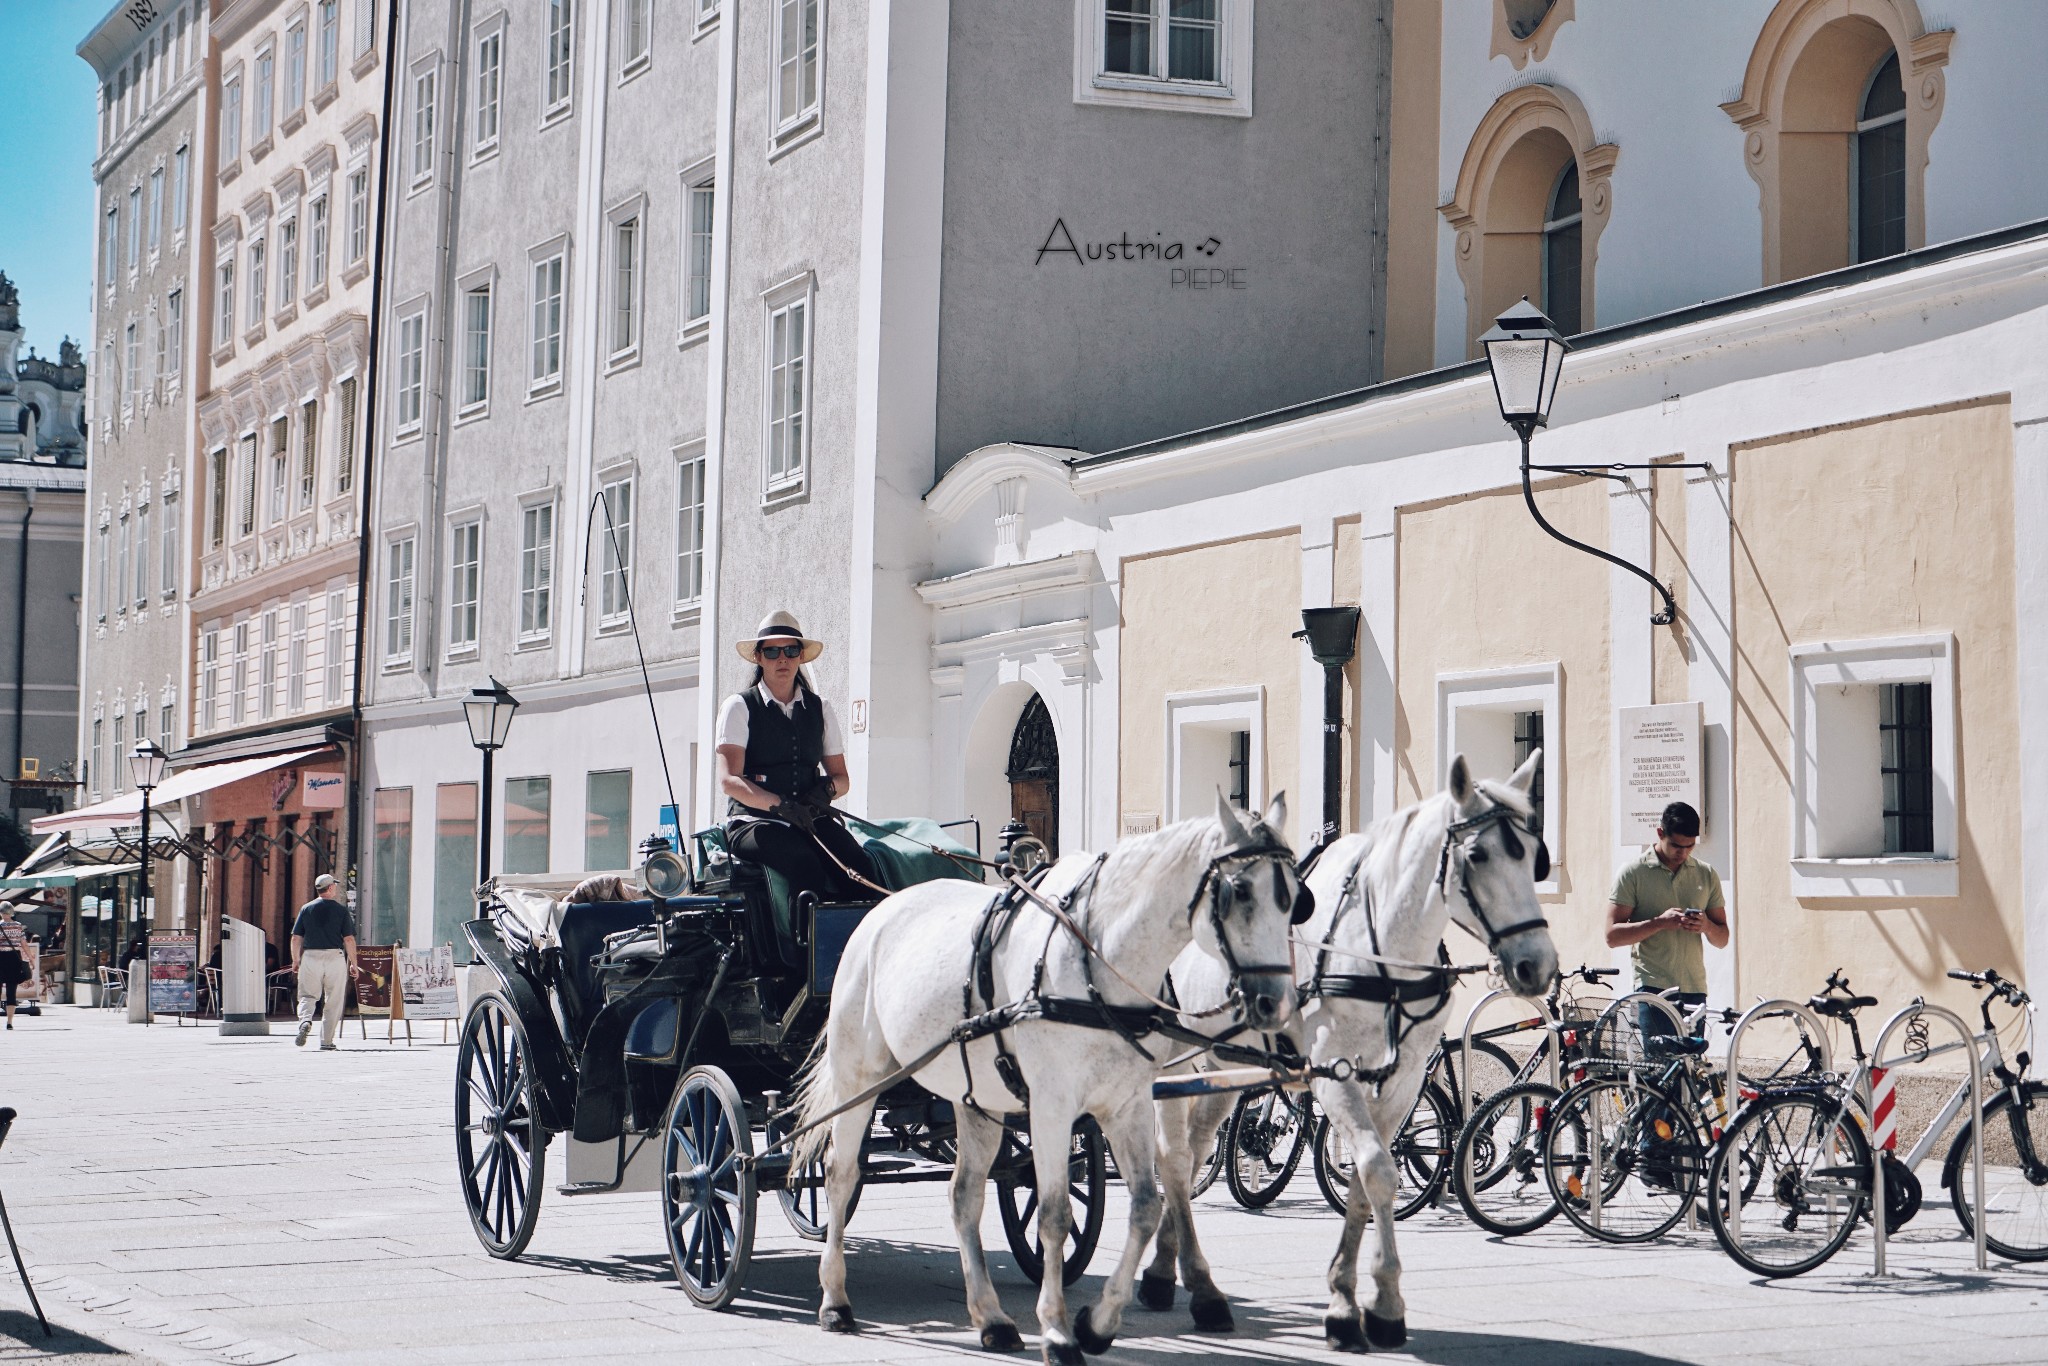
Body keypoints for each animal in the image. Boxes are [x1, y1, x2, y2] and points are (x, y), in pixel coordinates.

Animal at [790, 794, 1302, 1359]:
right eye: (1239, 891)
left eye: (1295, 898)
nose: (1276, 1005)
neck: (1098, 961)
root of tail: (878, 911)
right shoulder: (1053, 1107)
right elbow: (1055, 1215)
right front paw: (1057, 1331)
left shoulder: (1127, 1103)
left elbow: (1146, 1205)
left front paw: (1097, 1323)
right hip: (860, 1078)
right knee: (840, 1175)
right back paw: (835, 1300)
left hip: (976, 1099)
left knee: (964, 1195)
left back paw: (991, 1318)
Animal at [1155, 753, 1548, 1351]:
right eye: (1478, 855)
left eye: (1534, 853)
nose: (1537, 962)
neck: (1379, 951)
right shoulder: (1332, 1074)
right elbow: (1377, 1170)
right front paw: (1365, 1305)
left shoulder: (1403, 1080)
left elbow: (1368, 1178)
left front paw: (1361, 1298)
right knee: (1170, 1157)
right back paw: (1172, 1277)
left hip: (1223, 1065)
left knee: (1195, 1150)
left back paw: (1169, 1265)